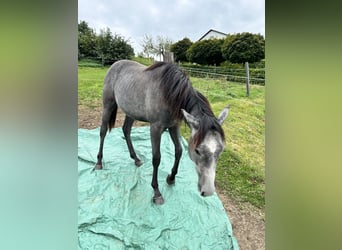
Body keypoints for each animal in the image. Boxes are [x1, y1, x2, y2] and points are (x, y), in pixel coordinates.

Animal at [95, 59, 230, 204]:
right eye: (197, 150)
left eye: (220, 150)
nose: (208, 191)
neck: (169, 94)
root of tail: (115, 64)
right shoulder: (155, 128)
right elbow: (156, 158)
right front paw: (156, 192)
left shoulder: (173, 126)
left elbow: (179, 151)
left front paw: (171, 178)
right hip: (108, 105)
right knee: (103, 131)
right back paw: (98, 163)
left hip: (130, 111)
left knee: (126, 130)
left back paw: (136, 159)